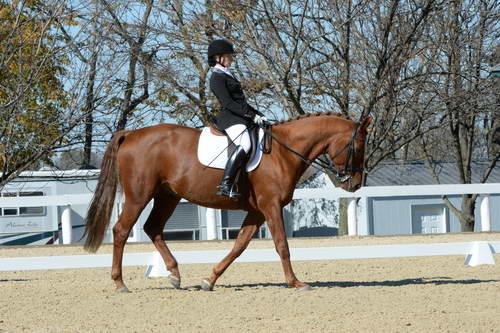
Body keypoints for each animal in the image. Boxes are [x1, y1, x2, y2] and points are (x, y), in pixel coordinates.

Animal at [83, 111, 372, 290]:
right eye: (358, 147)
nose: (355, 184)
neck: (283, 152)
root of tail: (131, 134)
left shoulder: (257, 211)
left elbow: (239, 246)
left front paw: (209, 280)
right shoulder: (271, 206)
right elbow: (282, 245)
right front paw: (296, 283)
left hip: (168, 196)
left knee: (152, 228)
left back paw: (174, 275)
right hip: (139, 196)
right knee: (121, 230)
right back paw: (120, 283)